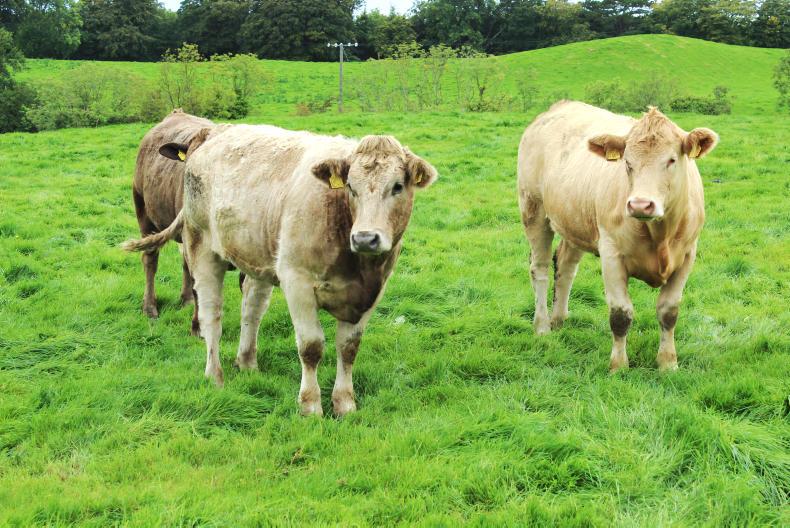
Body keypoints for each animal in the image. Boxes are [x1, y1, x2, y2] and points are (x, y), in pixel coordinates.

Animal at [123, 125, 438, 416]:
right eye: (350, 187)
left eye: (397, 187)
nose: (365, 238)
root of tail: (212, 134)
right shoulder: (297, 282)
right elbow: (311, 347)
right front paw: (310, 406)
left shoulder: (372, 291)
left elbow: (349, 348)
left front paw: (345, 404)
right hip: (201, 247)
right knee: (211, 313)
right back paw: (215, 376)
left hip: (257, 258)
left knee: (251, 309)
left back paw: (247, 363)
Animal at [517, 101, 718, 372]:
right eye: (627, 163)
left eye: (672, 160)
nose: (640, 204)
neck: (660, 236)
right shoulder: (611, 254)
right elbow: (620, 314)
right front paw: (618, 365)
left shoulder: (687, 255)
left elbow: (669, 311)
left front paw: (668, 362)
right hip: (533, 210)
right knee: (539, 269)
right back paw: (542, 327)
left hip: (575, 220)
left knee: (566, 266)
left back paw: (559, 319)